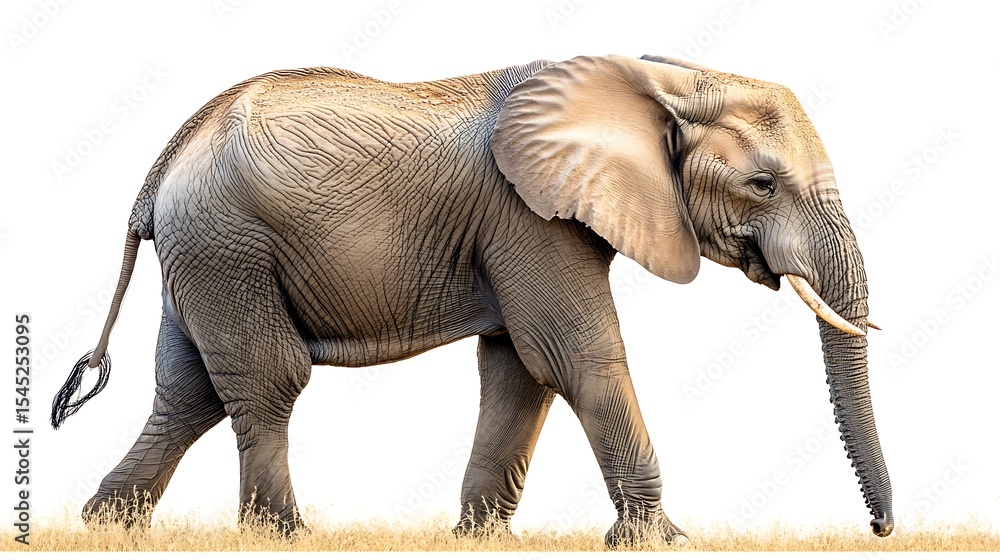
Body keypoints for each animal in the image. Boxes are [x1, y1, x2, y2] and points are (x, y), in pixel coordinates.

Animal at [51, 54, 892, 545]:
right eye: (763, 184)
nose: (882, 528)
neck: (656, 79)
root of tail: (161, 168)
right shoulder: (526, 216)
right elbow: (573, 355)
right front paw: (661, 542)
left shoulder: (521, 225)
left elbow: (520, 369)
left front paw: (481, 541)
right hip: (230, 245)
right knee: (267, 380)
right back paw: (282, 537)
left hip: (205, 255)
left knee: (188, 389)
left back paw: (107, 528)